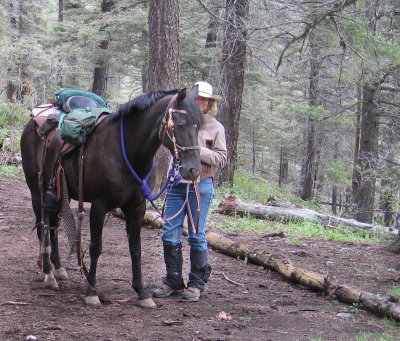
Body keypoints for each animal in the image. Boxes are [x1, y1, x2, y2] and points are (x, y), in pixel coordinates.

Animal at [19, 85, 202, 308]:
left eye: (199, 126)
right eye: (181, 125)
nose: (193, 170)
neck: (124, 152)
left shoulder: (136, 208)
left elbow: (136, 249)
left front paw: (142, 293)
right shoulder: (99, 206)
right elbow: (95, 248)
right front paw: (91, 291)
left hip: (61, 195)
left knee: (53, 228)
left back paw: (59, 269)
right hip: (37, 191)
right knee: (43, 228)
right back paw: (48, 273)